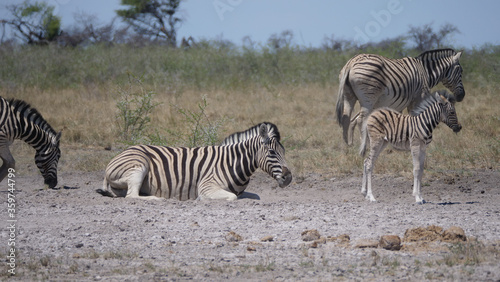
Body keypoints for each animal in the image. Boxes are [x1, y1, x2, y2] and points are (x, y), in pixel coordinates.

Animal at [96, 123, 292, 200]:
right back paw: (157, 198)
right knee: (132, 196)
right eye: (272, 152)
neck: (233, 162)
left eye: (284, 151)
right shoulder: (207, 185)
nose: (289, 178)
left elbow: (252, 196)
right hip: (139, 165)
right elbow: (231, 197)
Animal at [336, 48, 464, 145]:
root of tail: (351, 62)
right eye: (461, 72)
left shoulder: (399, 105)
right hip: (369, 97)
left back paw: (347, 145)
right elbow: (416, 118)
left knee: (346, 118)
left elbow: (398, 121)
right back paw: (365, 144)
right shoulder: (418, 98)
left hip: (349, 95)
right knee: (360, 120)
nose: (461, 96)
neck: (426, 73)